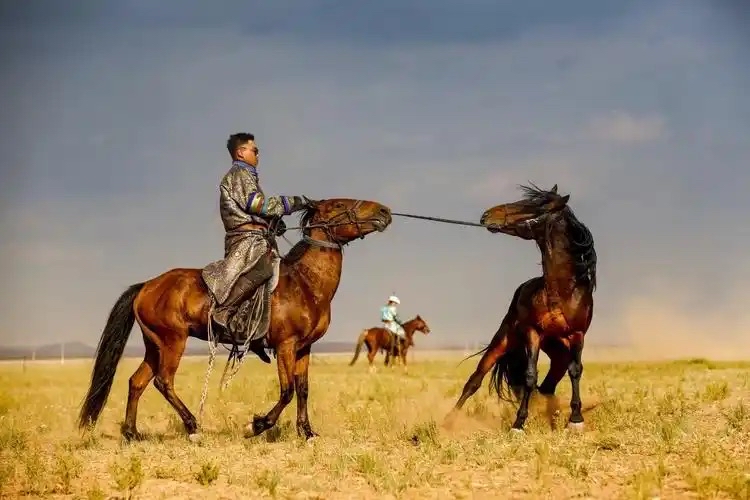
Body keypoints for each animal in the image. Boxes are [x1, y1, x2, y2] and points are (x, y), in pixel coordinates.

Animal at [77, 198, 393, 442]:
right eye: (339, 204)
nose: (384, 211)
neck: (304, 283)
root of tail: (146, 286)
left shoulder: (304, 348)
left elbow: (302, 390)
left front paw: (307, 432)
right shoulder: (285, 346)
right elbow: (287, 390)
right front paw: (258, 425)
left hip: (154, 345)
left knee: (137, 381)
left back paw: (132, 434)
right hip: (172, 341)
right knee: (163, 381)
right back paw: (192, 427)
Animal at [445, 183, 596, 432]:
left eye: (532, 206)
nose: (486, 215)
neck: (562, 291)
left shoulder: (577, 335)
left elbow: (576, 371)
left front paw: (575, 419)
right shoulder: (532, 333)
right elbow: (529, 376)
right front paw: (519, 423)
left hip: (558, 351)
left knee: (549, 385)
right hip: (504, 340)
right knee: (475, 380)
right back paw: (448, 421)